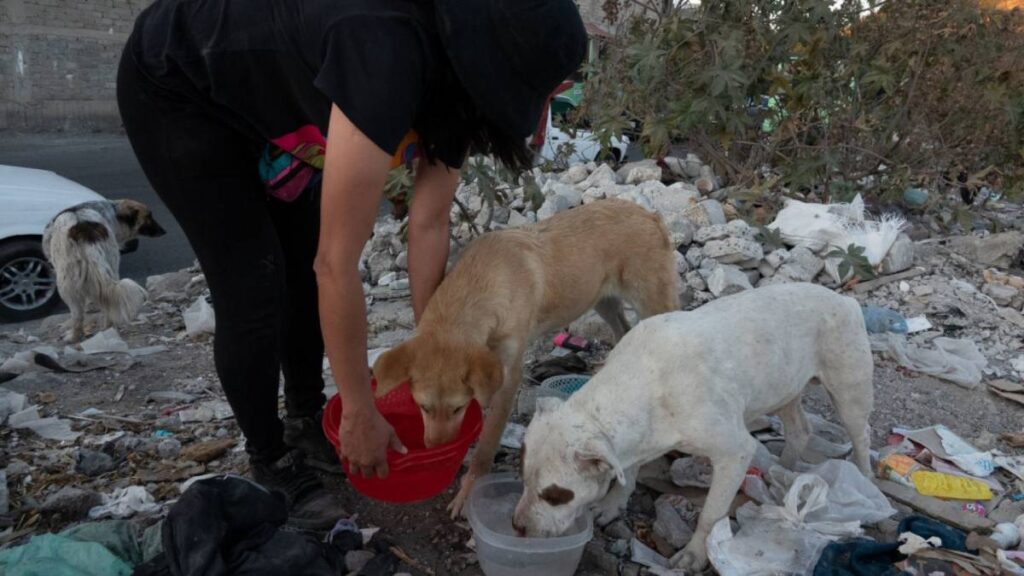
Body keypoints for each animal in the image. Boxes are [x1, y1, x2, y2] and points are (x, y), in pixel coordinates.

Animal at [42, 198, 163, 340]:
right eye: (149, 216)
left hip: (65, 283)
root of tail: (83, 227)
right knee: (108, 302)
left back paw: (73, 337)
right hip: (112, 265)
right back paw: (107, 329)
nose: (164, 231)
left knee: (78, 315)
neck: (113, 212)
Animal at [374, 198, 679, 516]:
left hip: (653, 301)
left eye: (458, 408)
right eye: (423, 407)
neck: (481, 282)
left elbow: (488, 442)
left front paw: (469, 492)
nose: (437, 452)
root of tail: (648, 214)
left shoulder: (508, 377)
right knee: (624, 331)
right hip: (602, 300)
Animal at [512, 280, 872, 569]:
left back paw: (866, 481)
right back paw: (780, 472)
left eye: (556, 496)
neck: (645, 382)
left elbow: (711, 514)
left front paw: (696, 554)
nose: (518, 527)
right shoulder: (632, 441)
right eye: (523, 479)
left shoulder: (734, 453)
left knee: (861, 439)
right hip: (784, 388)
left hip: (849, 393)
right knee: (800, 430)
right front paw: (613, 505)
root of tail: (845, 300)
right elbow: (626, 475)